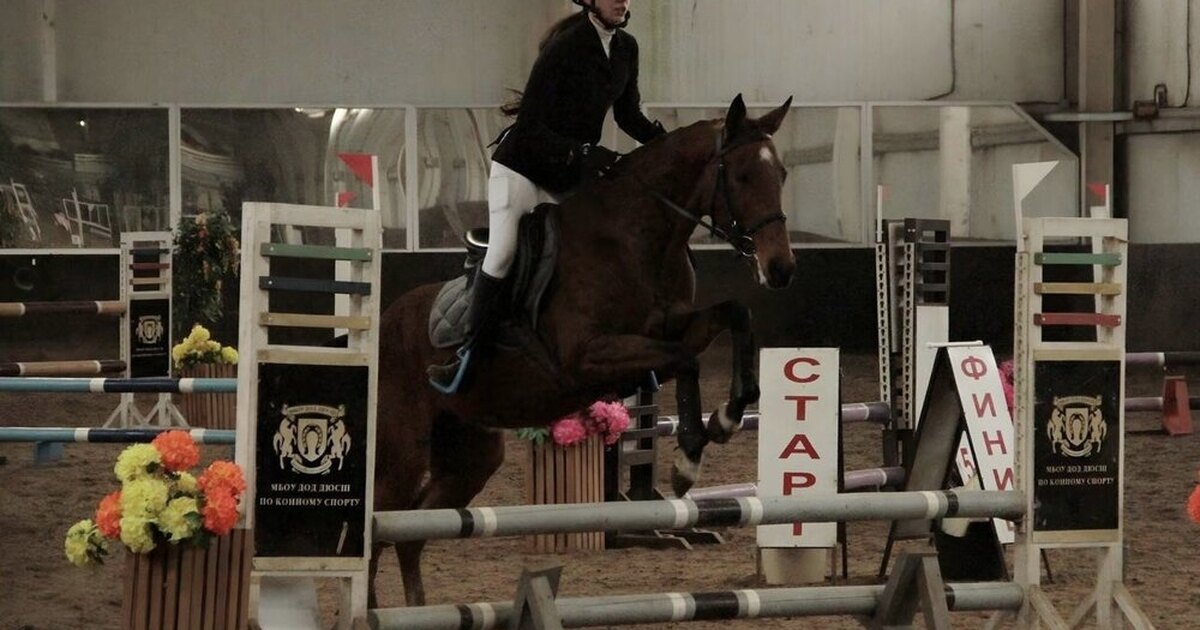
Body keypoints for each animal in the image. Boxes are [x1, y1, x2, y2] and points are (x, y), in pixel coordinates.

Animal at [371, 94, 797, 607]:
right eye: (743, 176)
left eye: (783, 175)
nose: (780, 267)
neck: (637, 240)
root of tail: (383, 325)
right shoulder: (587, 358)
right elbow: (688, 361)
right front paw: (688, 458)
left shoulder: (672, 332)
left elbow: (736, 316)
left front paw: (728, 416)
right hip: (403, 455)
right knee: (376, 528)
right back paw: (364, 612)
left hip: (471, 457)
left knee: (409, 534)